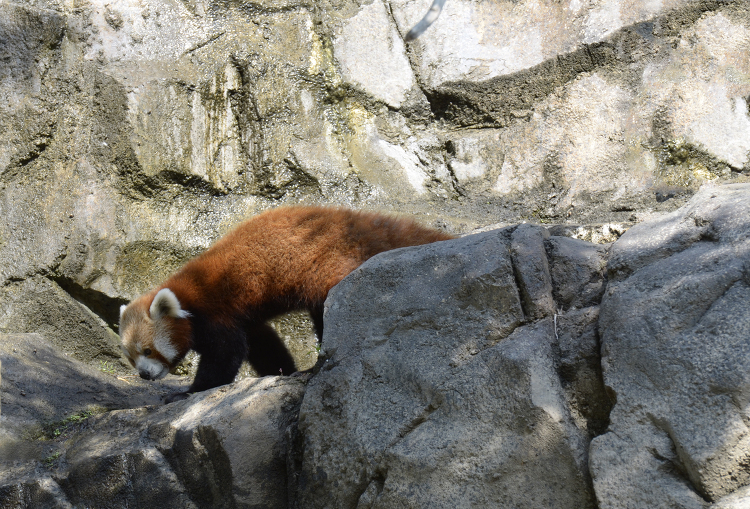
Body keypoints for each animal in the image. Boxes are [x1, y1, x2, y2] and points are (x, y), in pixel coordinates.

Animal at [120, 205, 456, 400]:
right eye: (131, 357)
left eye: (148, 350)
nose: (144, 375)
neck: (189, 294)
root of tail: (353, 222)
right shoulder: (245, 318)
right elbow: (262, 344)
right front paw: (282, 372)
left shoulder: (217, 310)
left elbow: (225, 354)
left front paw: (189, 391)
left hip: (329, 265)